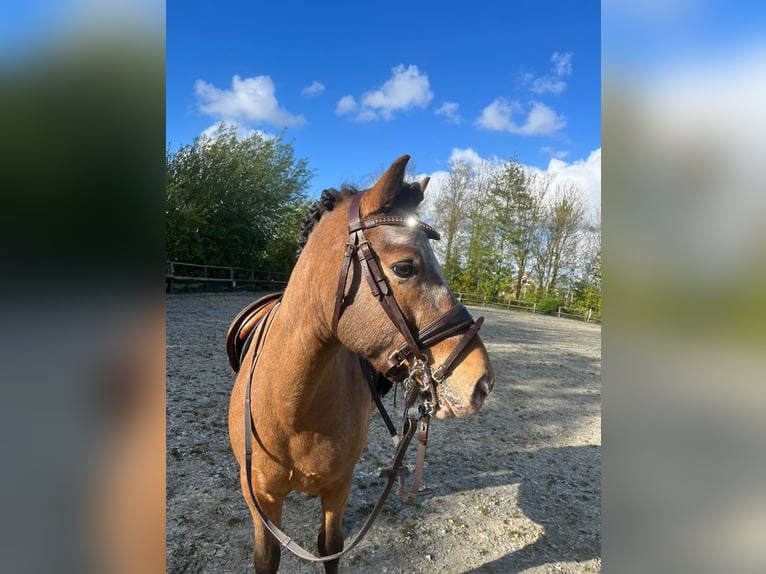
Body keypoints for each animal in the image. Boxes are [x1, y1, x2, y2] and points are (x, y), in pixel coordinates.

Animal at [228, 155, 496, 572]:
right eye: (404, 267)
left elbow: (330, 548)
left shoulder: (338, 488)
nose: (482, 382)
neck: (291, 406)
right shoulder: (262, 500)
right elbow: (267, 558)